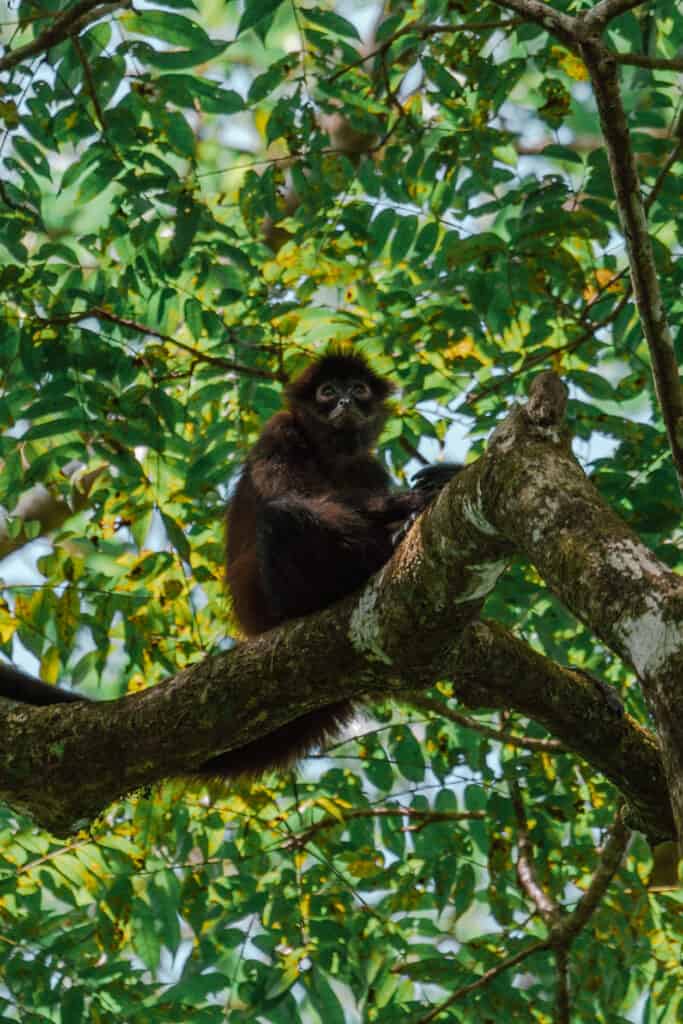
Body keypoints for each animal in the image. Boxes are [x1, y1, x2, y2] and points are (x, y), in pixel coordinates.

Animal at [0, 348, 462, 778]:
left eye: (359, 389)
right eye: (328, 392)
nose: (346, 401)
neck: (328, 451)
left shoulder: (366, 464)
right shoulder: (279, 432)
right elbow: (292, 495)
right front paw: (408, 503)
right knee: (283, 514)